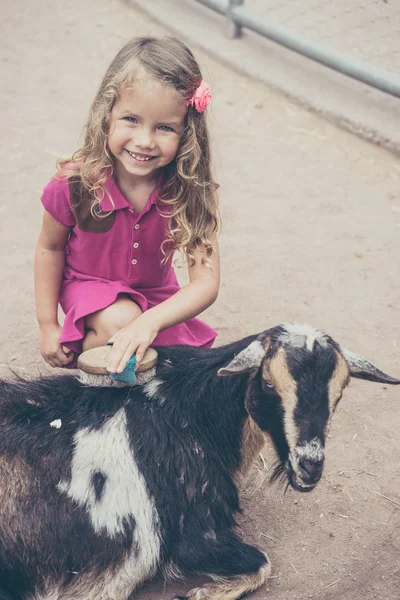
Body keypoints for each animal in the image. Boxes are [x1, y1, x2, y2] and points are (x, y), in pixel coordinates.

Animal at [0, 324, 398, 600]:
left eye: (340, 390)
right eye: (269, 383)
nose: (310, 466)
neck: (189, 413)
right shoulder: (193, 535)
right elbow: (262, 563)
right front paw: (202, 593)